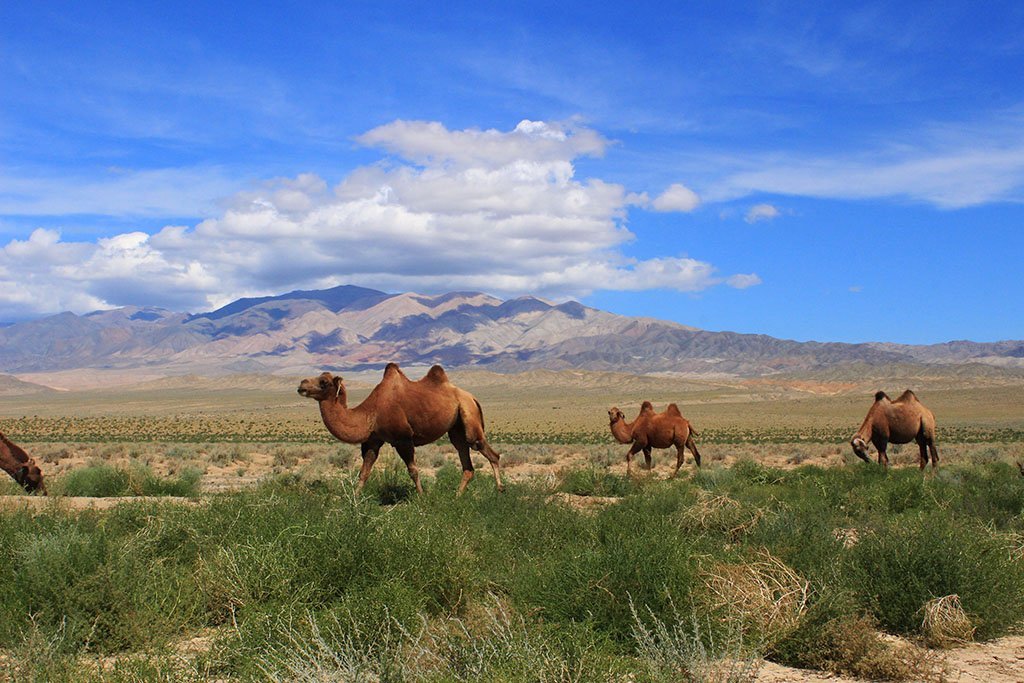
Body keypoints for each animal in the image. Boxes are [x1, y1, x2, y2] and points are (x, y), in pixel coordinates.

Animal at [297, 363, 503, 495]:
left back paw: (500, 490)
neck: (370, 413)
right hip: (456, 427)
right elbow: (364, 471)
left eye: (323, 382)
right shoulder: (373, 440)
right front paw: (354, 500)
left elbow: (413, 470)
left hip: (468, 414)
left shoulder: (403, 438)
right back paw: (457, 496)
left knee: (484, 449)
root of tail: (472, 397)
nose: (301, 385)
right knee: (464, 455)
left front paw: (422, 497)